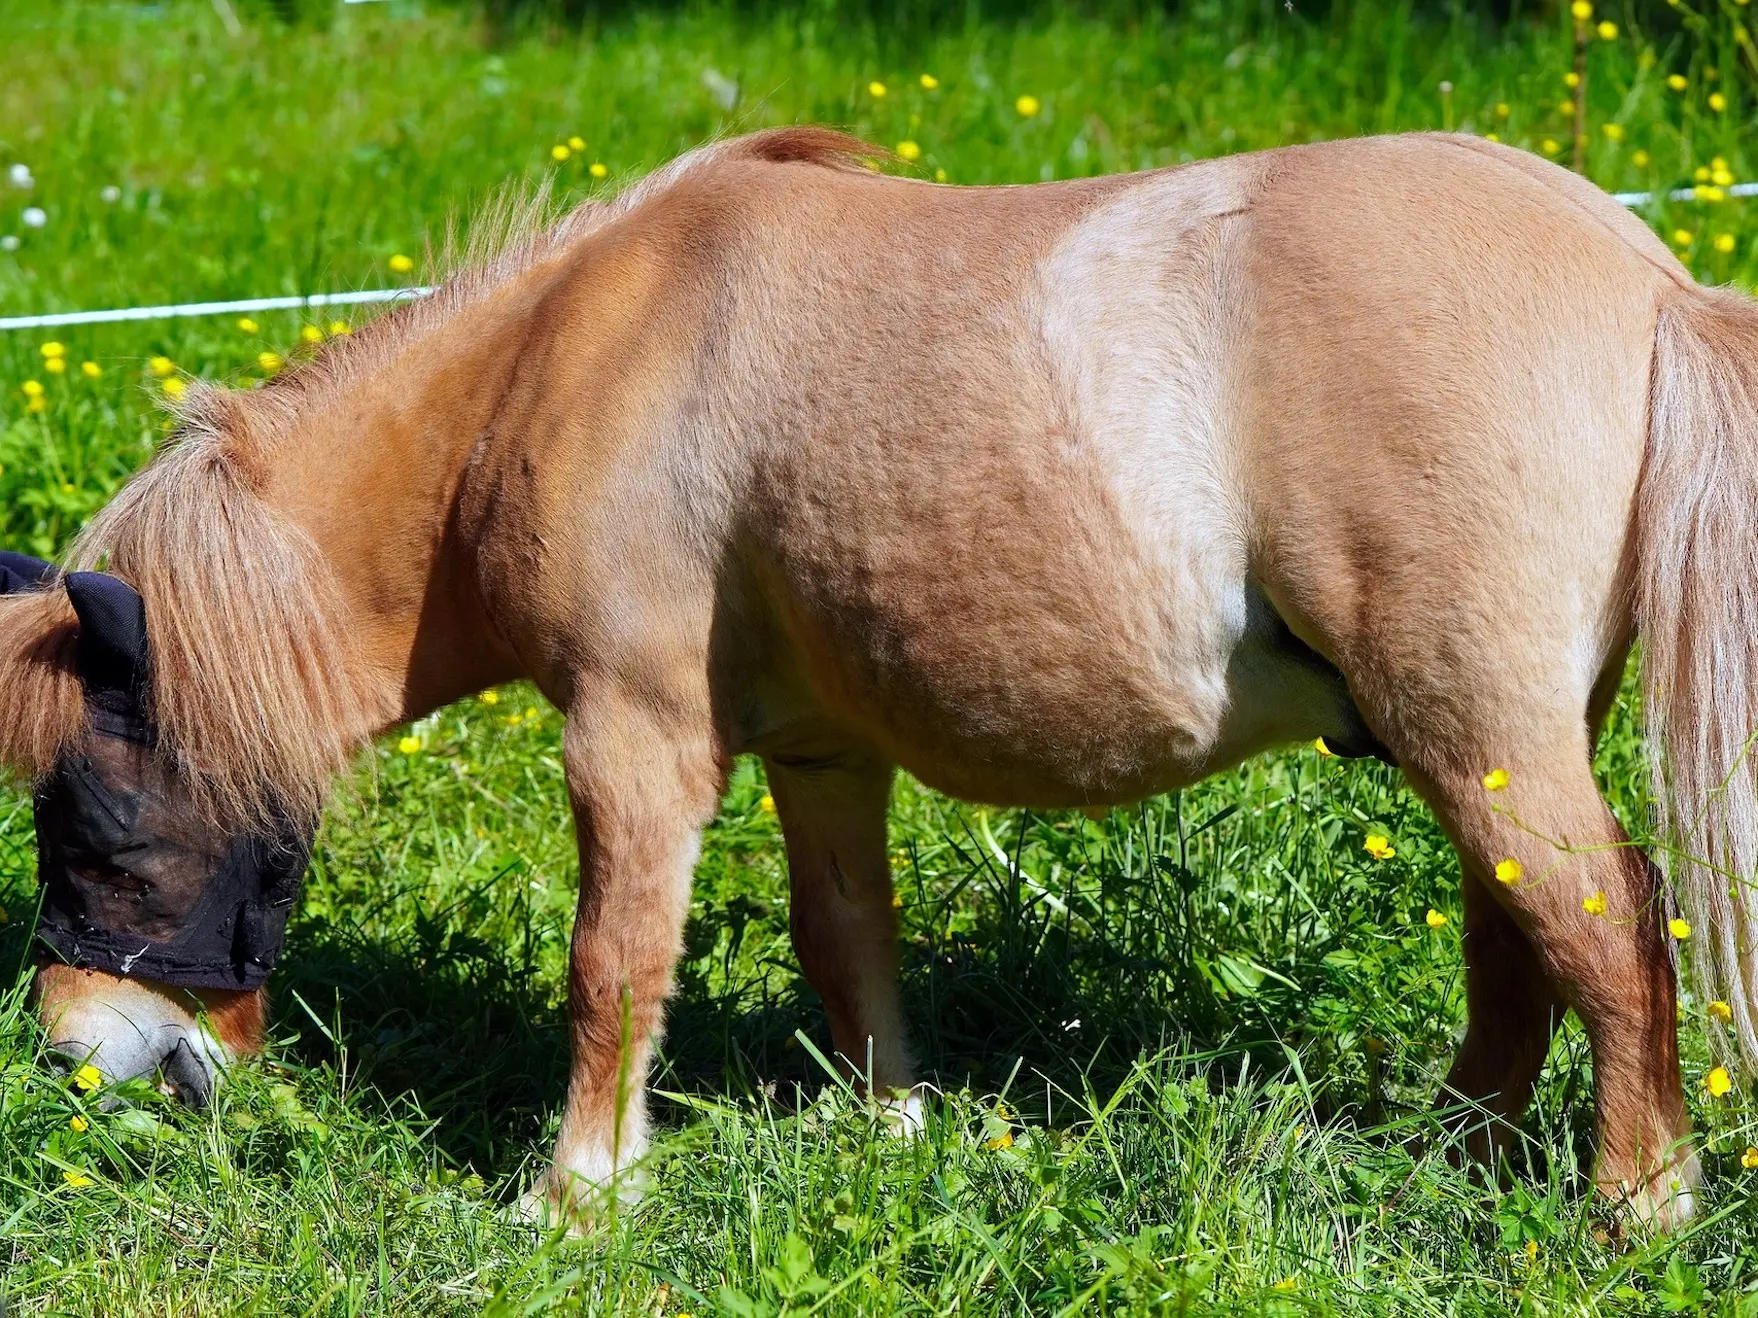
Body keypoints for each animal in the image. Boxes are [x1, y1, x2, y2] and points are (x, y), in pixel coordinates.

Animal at [3, 129, 1758, 1237]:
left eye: (90, 810)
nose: (77, 1053)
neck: (572, 358)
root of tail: (1644, 281)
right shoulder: (819, 754)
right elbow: (846, 942)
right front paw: (889, 1132)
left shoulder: (635, 737)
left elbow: (613, 962)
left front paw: (576, 1196)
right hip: (1476, 738)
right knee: (1519, 938)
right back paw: (1454, 1157)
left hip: (1474, 728)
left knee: (1611, 930)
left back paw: (1631, 1207)